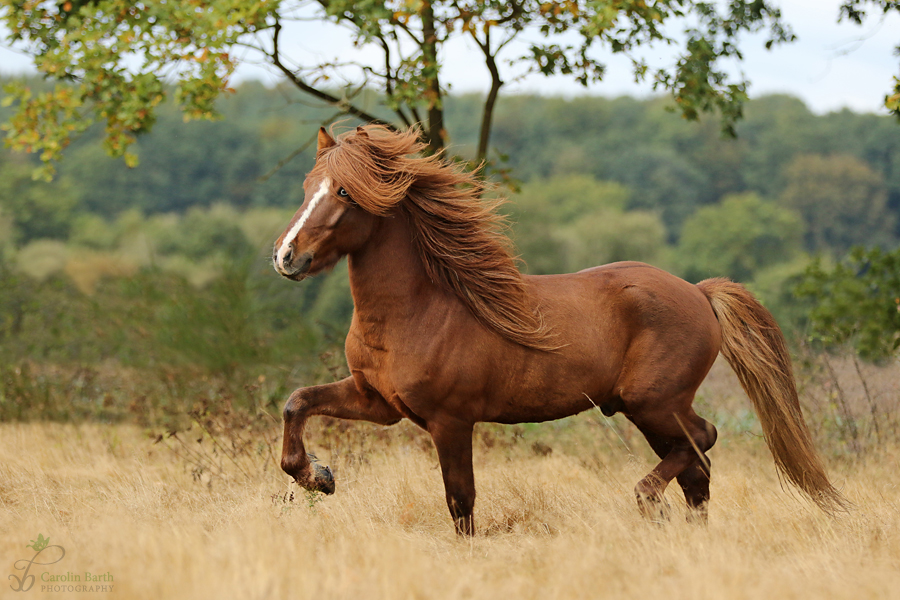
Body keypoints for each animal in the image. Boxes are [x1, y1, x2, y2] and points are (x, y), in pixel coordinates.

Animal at [270, 124, 848, 532]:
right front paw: (317, 476)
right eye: (307, 186)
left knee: (702, 442)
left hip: (653, 402)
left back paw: (648, 503)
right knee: (697, 468)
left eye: (345, 192)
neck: (417, 310)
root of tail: (699, 293)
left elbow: (461, 504)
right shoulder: (378, 403)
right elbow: (297, 402)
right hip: (651, 411)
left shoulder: (450, 421)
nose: (286, 257)